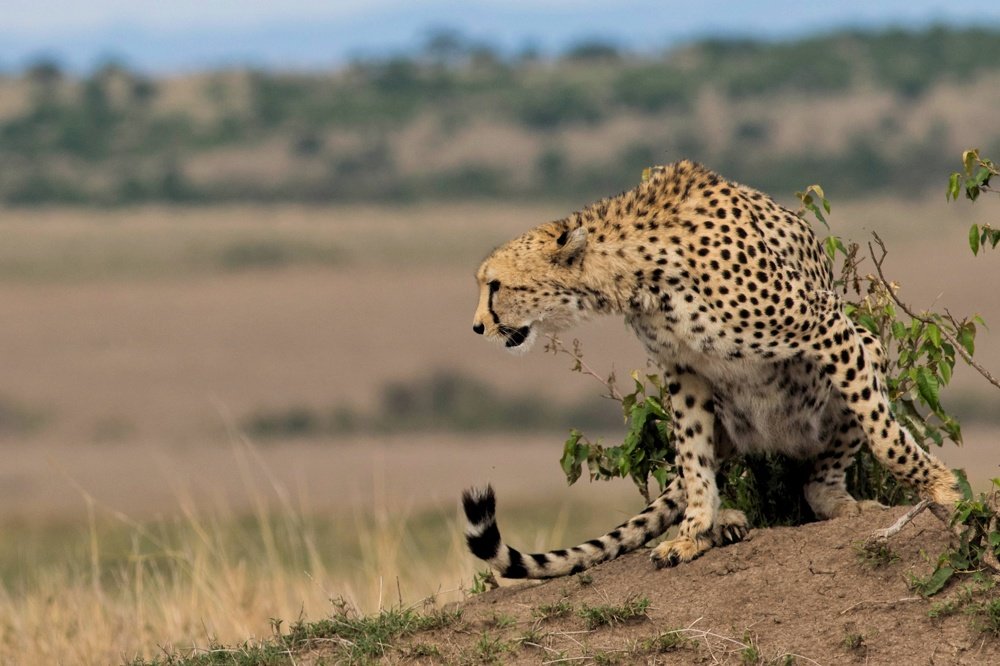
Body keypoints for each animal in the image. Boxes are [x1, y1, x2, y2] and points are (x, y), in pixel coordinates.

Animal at [461, 160, 960, 579]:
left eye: (496, 285)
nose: (477, 326)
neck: (636, 271)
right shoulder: (685, 370)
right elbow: (694, 457)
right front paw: (693, 534)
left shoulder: (825, 324)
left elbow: (885, 433)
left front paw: (937, 487)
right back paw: (727, 524)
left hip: (863, 351)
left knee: (820, 478)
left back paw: (834, 501)